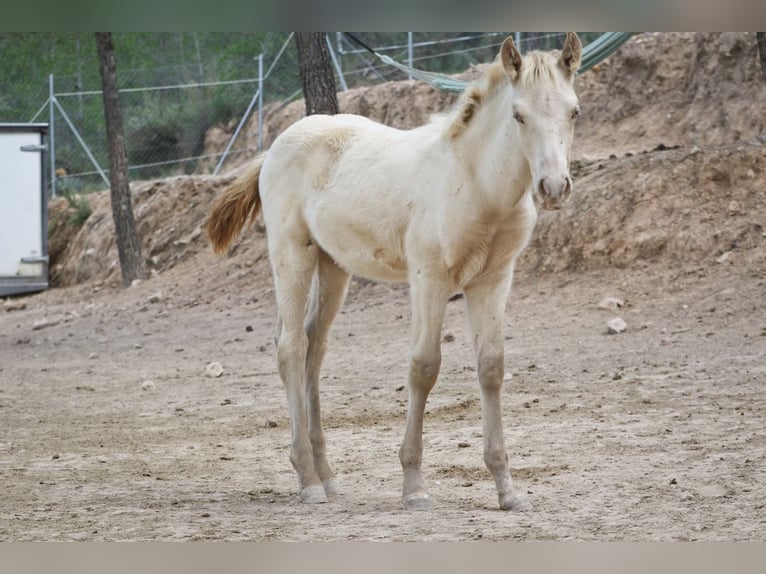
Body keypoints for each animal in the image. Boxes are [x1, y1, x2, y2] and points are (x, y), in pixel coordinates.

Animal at [207, 33, 584, 510]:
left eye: (574, 111)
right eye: (518, 115)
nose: (553, 189)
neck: (476, 183)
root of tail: (274, 147)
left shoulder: (493, 280)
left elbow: (492, 368)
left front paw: (507, 490)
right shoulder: (429, 278)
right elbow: (424, 366)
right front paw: (414, 486)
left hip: (334, 266)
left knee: (315, 347)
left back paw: (328, 477)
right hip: (292, 253)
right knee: (291, 346)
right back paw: (308, 481)